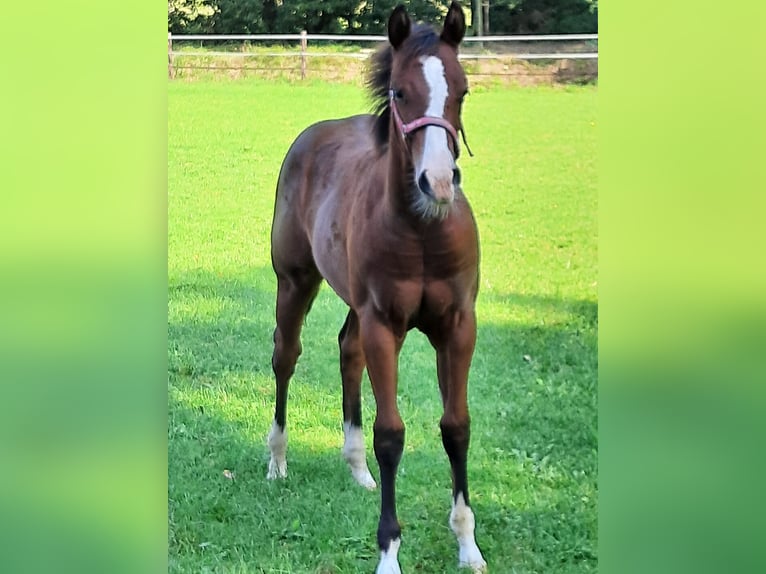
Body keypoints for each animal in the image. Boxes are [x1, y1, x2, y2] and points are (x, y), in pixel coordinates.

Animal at [268, 3, 486, 572]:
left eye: (462, 90)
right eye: (400, 93)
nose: (438, 181)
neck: (422, 232)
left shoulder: (457, 325)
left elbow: (456, 426)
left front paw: (467, 544)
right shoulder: (384, 324)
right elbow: (391, 434)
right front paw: (388, 551)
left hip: (355, 304)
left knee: (348, 349)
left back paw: (357, 468)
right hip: (295, 281)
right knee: (285, 356)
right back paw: (277, 460)